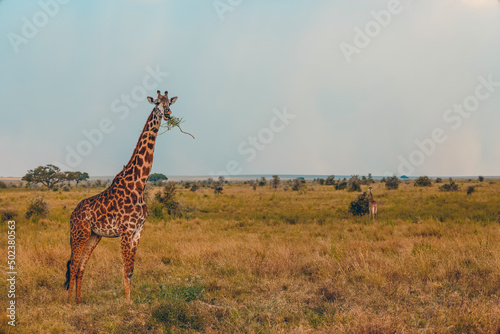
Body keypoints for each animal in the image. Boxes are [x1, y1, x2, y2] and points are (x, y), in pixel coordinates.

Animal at [64, 90, 178, 304]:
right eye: (157, 103)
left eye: (169, 102)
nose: (167, 113)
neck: (139, 184)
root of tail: (73, 214)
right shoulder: (126, 230)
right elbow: (125, 270)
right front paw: (126, 302)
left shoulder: (138, 231)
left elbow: (131, 270)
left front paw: (129, 300)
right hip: (79, 233)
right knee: (73, 265)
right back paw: (68, 303)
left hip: (94, 236)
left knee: (81, 267)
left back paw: (79, 301)